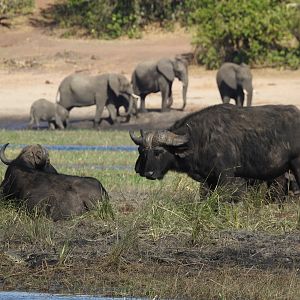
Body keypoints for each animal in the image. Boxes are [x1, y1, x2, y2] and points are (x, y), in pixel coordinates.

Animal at [131, 103, 300, 197]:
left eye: (159, 152)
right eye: (143, 151)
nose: (148, 173)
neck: (200, 139)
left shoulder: (227, 177)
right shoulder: (209, 180)